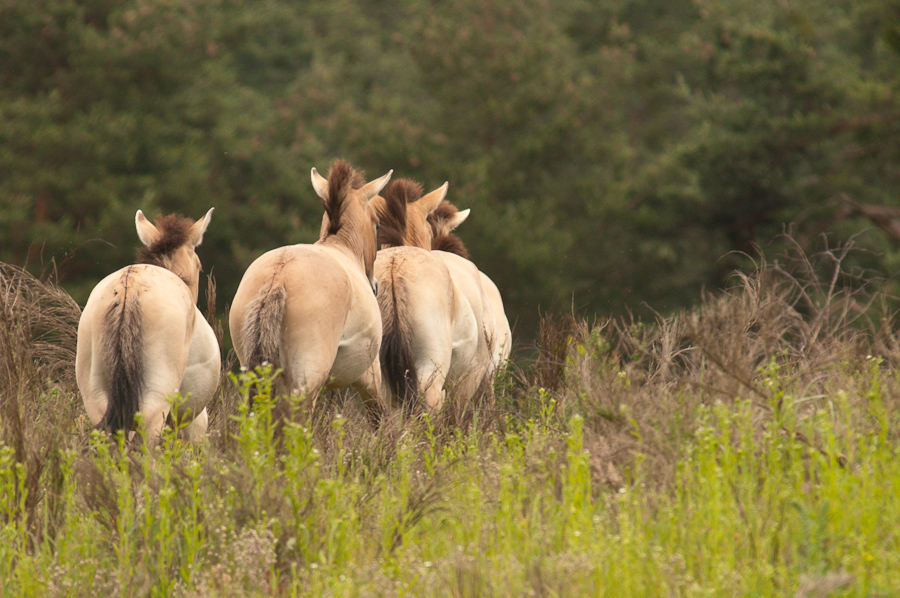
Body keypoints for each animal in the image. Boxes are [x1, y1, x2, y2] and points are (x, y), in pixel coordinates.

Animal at [229, 160, 391, 422]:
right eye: (377, 223)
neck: (341, 246)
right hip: (306, 386)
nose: (374, 285)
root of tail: (278, 276)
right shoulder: (369, 377)